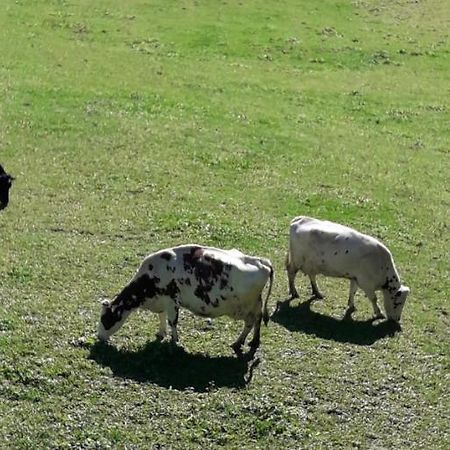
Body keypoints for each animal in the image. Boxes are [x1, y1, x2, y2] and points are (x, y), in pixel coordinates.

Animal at [99, 244, 274, 356]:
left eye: (106, 319)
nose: (99, 337)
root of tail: (260, 261)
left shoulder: (172, 301)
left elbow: (173, 322)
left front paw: (174, 341)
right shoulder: (161, 301)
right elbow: (161, 317)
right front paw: (161, 333)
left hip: (244, 307)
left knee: (251, 322)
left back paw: (239, 343)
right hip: (255, 303)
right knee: (258, 319)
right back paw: (253, 342)